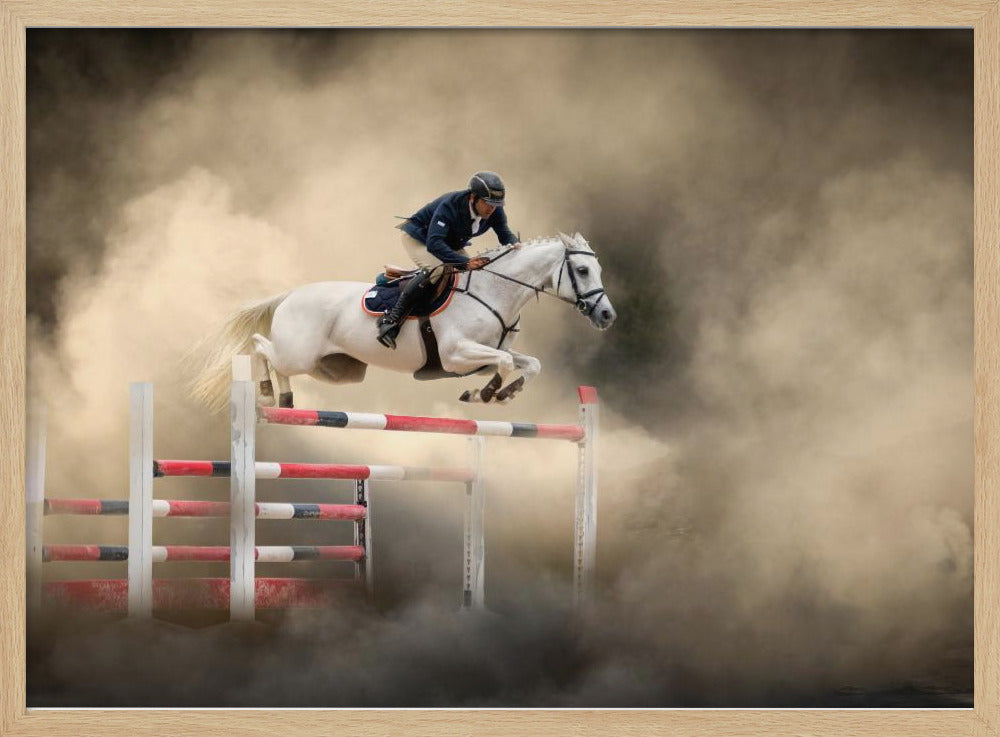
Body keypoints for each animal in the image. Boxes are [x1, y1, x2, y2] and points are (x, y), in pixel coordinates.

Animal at [190, 232, 616, 411]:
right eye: (581, 270)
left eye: (596, 268)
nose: (607, 315)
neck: (495, 291)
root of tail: (292, 294)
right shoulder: (456, 355)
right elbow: (507, 362)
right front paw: (486, 394)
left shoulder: (474, 361)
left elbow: (527, 363)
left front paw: (501, 393)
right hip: (298, 353)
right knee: (260, 346)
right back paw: (265, 392)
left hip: (332, 370)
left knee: (276, 360)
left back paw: (286, 399)